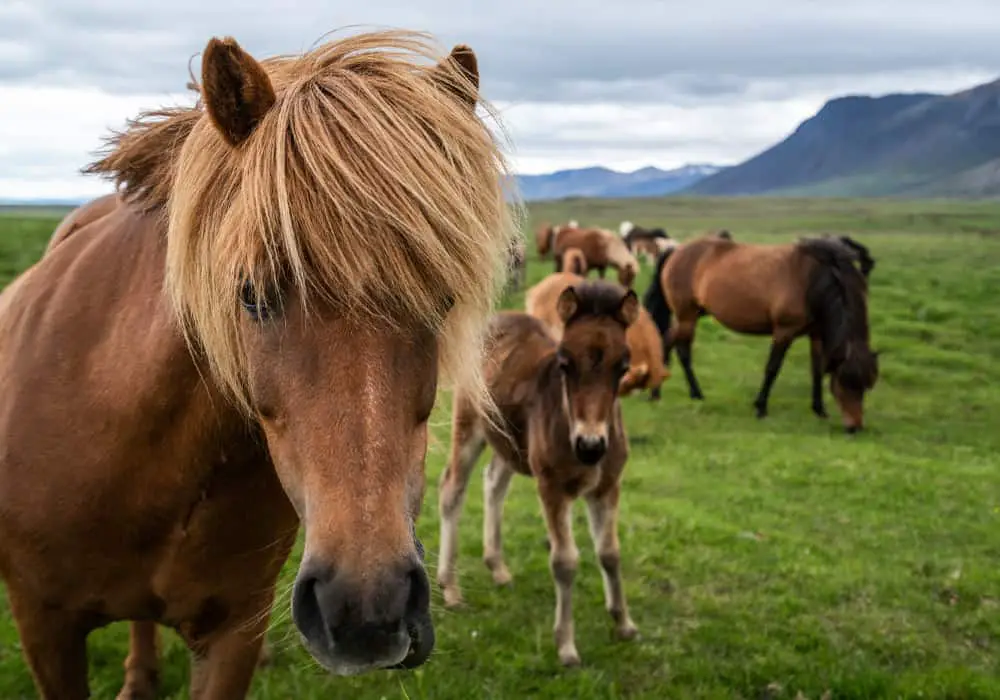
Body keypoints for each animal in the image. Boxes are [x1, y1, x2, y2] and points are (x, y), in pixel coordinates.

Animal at [438, 280, 640, 668]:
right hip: (469, 424)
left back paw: (497, 568)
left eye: (623, 366)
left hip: (509, 442)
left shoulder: (608, 486)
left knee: (494, 482)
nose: (590, 446)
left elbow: (610, 552)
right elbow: (564, 561)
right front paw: (566, 646)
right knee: (451, 489)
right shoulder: (552, 487)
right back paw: (451, 589)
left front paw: (624, 623)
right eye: (564, 363)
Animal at [644, 235, 880, 432]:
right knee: (678, 348)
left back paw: (672, 394)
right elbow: (772, 368)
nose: (855, 428)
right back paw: (677, 393)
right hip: (687, 316)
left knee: (671, 343)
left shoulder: (816, 334)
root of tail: (676, 250)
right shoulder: (784, 331)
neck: (812, 279)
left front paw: (819, 409)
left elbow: (817, 370)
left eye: (866, 386)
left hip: (694, 314)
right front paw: (761, 407)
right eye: (845, 382)